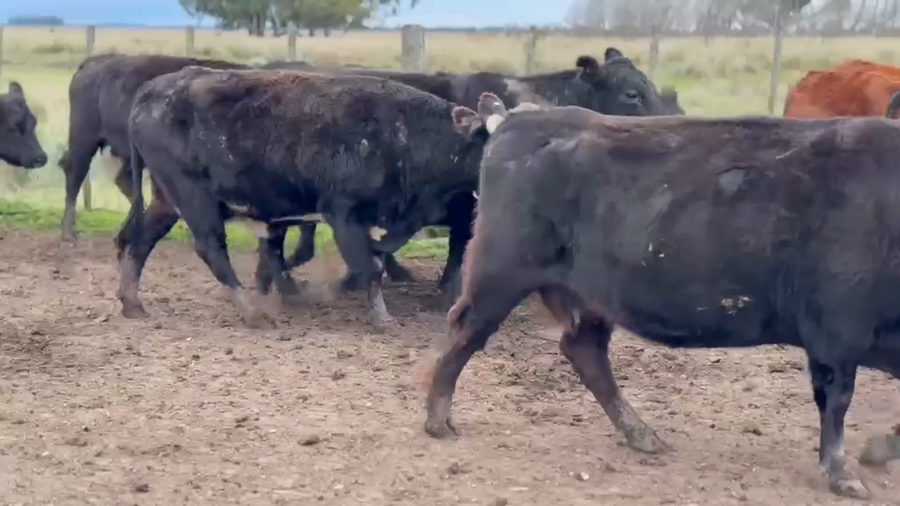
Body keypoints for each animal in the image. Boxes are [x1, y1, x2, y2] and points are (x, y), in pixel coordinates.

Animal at [116, 67, 488, 328]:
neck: (401, 131)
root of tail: (154, 89)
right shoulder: (344, 214)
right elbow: (367, 268)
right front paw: (344, 304)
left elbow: (375, 263)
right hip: (193, 196)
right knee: (210, 248)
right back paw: (252, 313)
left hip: (166, 199)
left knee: (141, 241)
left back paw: (132, 303)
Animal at [424, 92, 900, 500]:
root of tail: (517, 118)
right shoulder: (836, 334)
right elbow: (836, 402)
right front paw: (844, 475)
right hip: (500, 275)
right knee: (466, 329)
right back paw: (437, 419)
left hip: (586, 297)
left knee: (584, 350)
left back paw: (641, 434)